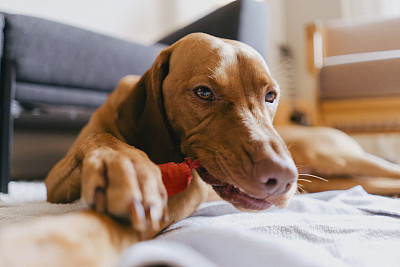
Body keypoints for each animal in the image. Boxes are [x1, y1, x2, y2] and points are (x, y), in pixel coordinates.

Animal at [0, 34, 298, 267]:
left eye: (270, 96)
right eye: (204, 92)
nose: (283, 177)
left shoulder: (183, 193)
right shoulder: (54, 184)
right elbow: (100, 138)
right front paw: (126, 165)